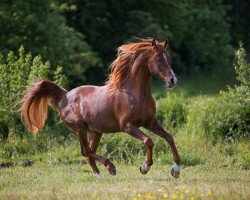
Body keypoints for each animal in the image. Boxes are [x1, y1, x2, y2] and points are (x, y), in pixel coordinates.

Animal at [19, 38, 180, 177]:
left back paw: (100, 175)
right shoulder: (128, 126)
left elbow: (169, 137)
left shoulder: (149, 122)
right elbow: (149, 141)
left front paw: (176, 169)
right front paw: (144, 167)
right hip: (80, 130)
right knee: (85, 151)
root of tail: (64, 96)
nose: (173, 80)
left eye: (169, 58)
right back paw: (110, 167)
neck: (133, 93)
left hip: (95, 132)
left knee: (88, 152)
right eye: (159, 59)